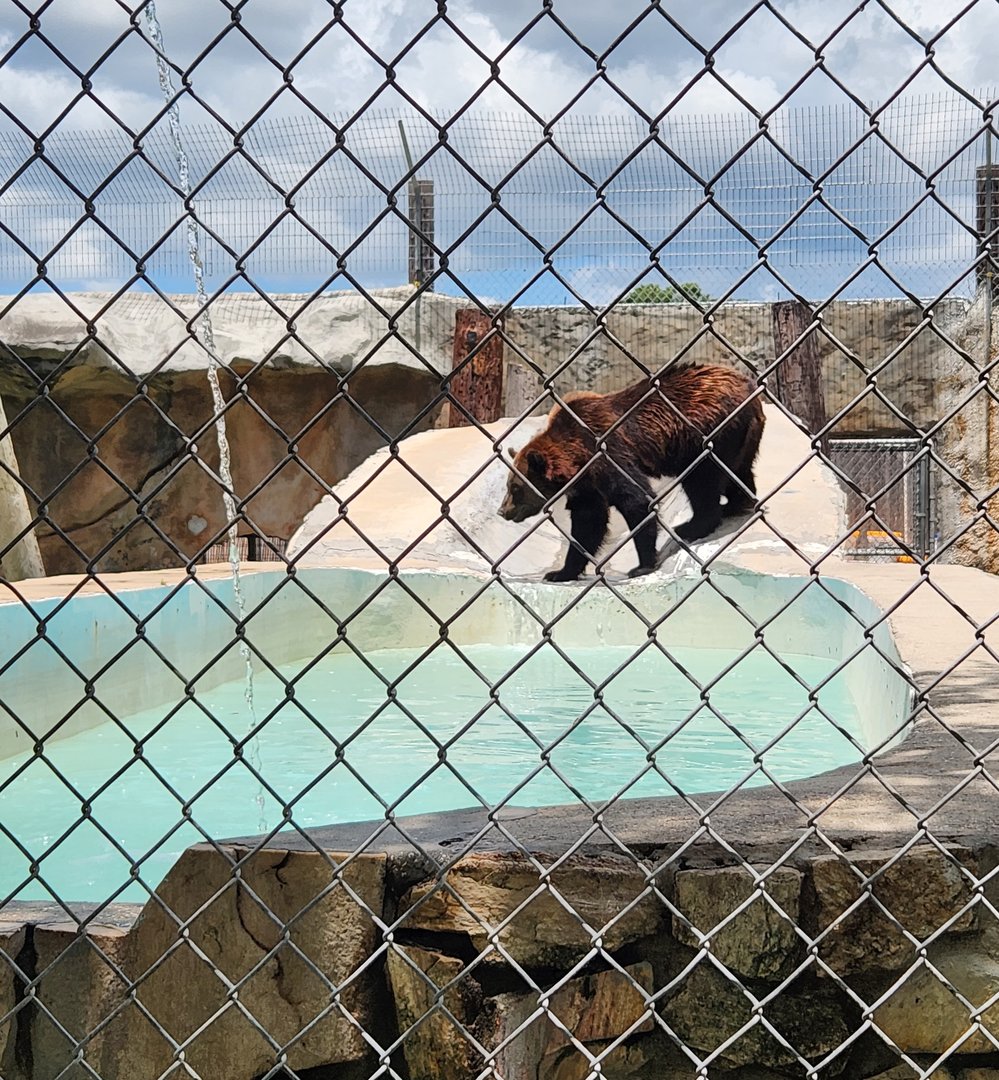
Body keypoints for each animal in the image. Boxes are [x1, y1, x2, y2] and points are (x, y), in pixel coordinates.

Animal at [498, 364, 765, 581]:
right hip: (737, 438)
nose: (503, 510)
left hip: (710, 433)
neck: (577, 458)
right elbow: (588, 522)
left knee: (701, 480)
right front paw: (561, 572)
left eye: (515, 488)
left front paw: (642, 564)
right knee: (737, 474)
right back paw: (736, 505)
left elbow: (635, 500)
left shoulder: (608, 453)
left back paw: (692, 525)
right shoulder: (587, 483)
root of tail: (752, 392)